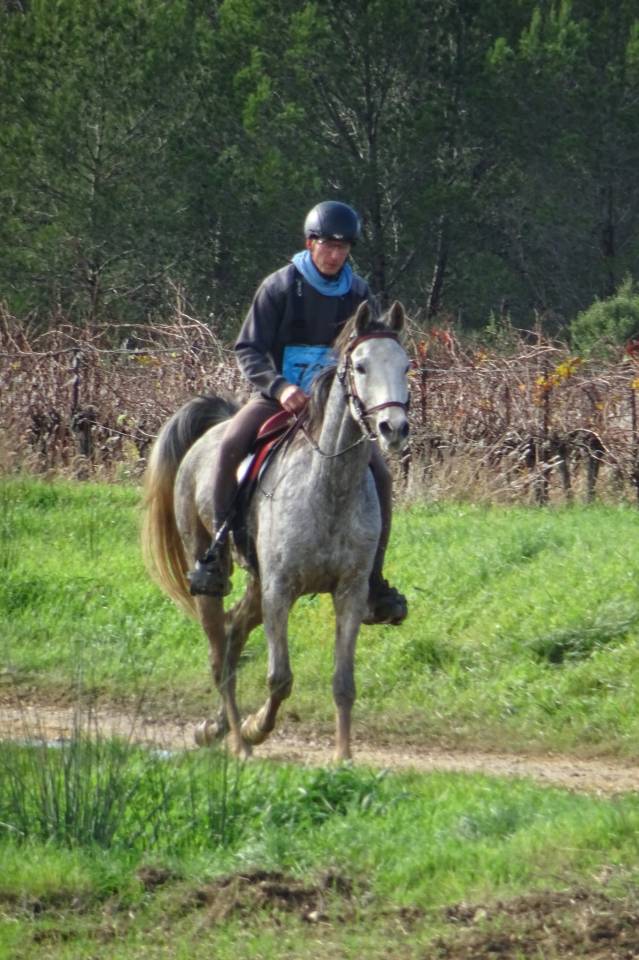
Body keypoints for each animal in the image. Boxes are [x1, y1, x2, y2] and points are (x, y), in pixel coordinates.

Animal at [142, 300, 410, 761]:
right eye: (360, 366)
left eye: (406, 365)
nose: (393, 428)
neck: (328, 486)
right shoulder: (280, 589)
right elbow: (280, 678)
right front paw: (254, 729)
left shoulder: (350, 591)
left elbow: (344, 682)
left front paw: (343, 758)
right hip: (217, 568)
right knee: (220, 654)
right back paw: (236, 740)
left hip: (256, 582)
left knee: (233, 633)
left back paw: (216, 728)